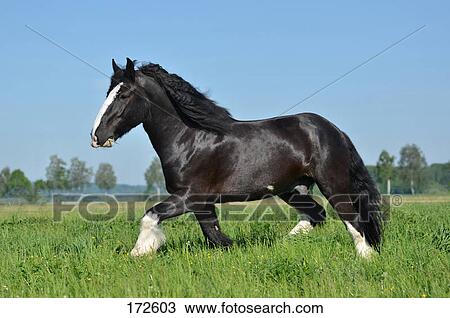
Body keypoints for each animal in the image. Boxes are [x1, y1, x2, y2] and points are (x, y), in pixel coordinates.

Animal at [91, 58, 384, 258]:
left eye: (124, 94)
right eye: (107, 92)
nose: (96, 136)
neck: (189, 139)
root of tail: (333, 130)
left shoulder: (190, 196)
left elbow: (151, 215)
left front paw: (139, 252)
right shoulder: (203, 203)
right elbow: (214, 235)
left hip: (333, 184)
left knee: (352, 220)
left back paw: (366, 257)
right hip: (293, 188)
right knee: (316, 215)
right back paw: (283, 244)